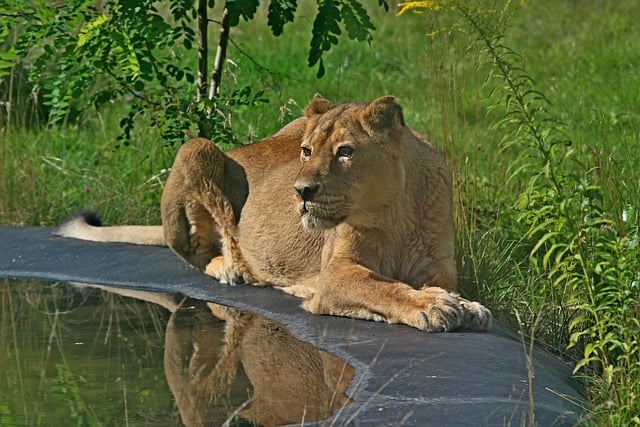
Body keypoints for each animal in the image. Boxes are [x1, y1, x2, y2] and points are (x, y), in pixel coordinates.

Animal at [54, 95, 492, 332]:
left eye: (345, 152)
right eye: (306, 151)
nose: (301, 191)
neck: (394, 211)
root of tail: (245, 147)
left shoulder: (437, 267)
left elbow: (442, 287)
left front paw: (464, 306)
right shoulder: (335, 275)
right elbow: (382, 287)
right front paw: (432, 307)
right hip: (196, 148)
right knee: (196, 251)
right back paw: (230, 267)